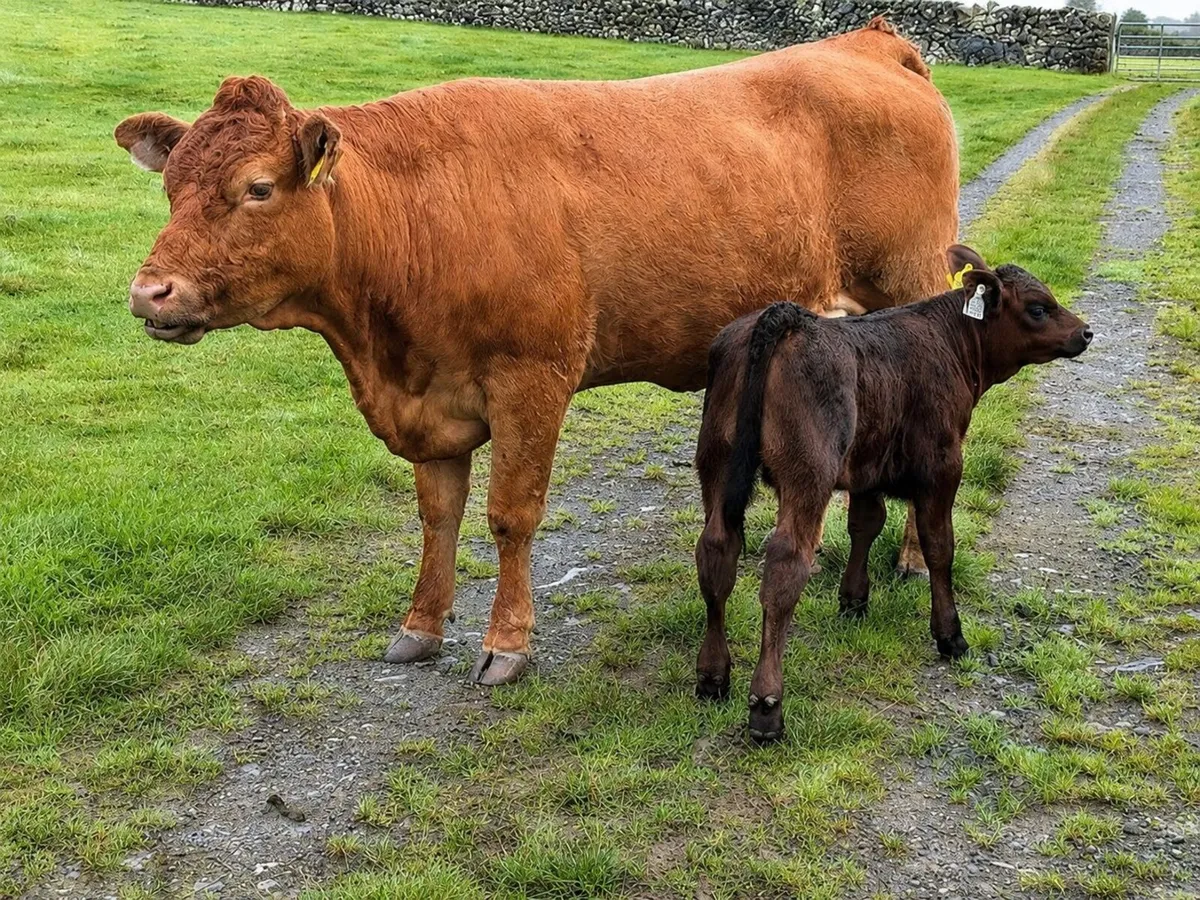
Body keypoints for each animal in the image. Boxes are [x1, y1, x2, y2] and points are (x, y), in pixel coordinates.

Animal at [114, 18, 958, 686]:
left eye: (258, 188)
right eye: (170, 188)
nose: (150, 293)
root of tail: (867, 41)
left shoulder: (532, 377)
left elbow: (510, 516)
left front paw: (507, 645)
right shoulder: (430, 399)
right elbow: (439, 516)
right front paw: (420, 627)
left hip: (913, 282)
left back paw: (914, 558)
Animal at [693, 245, 1092, 741]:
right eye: (1039, 308)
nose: (1085, 332)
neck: (951, 342)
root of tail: (785, 318)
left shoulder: (867, 466)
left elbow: (865, 524)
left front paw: (853, 601)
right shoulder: (942, 465)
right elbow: (939, 546)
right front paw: (950, 634)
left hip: (718, 463)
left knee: (716, 550)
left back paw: (712, 675)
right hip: (808, 474)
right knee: (785, 568)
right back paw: (767, 705)